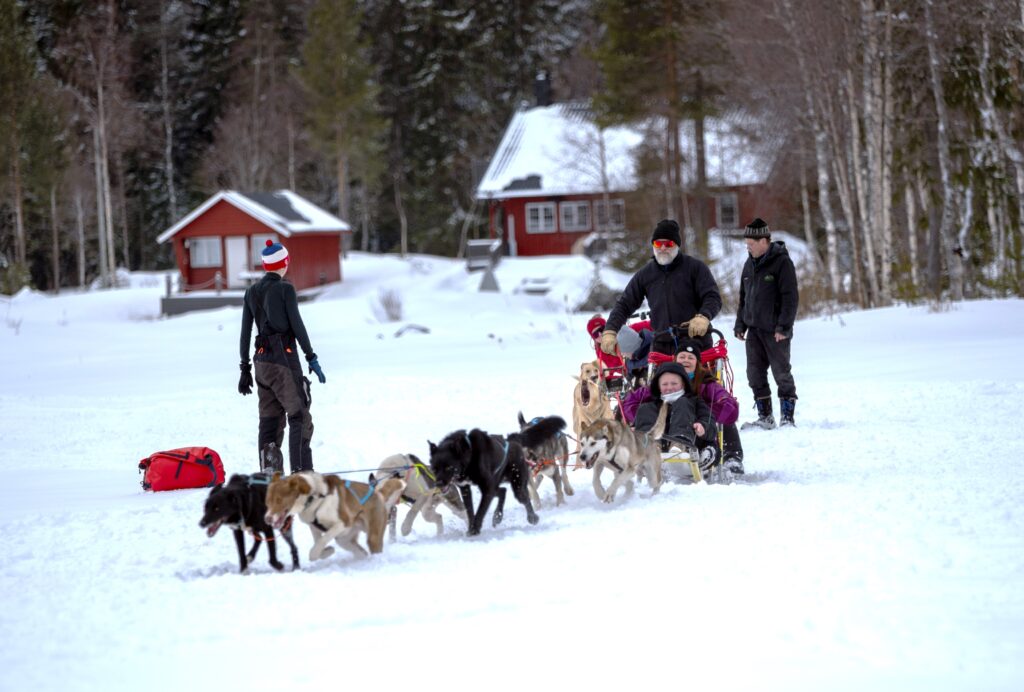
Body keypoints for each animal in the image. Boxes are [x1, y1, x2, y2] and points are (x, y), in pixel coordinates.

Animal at [264, 470, 403, 560]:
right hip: (344, 539)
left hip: (372, 536)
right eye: (267, 501)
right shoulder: (313, 526)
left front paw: (317, 553)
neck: (314, 498)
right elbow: (318, 542)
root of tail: (378, 492)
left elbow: (321, 542)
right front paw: (327, 551)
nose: (267, 519)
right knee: (361, 552)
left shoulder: (342, 523)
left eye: (279, 500)